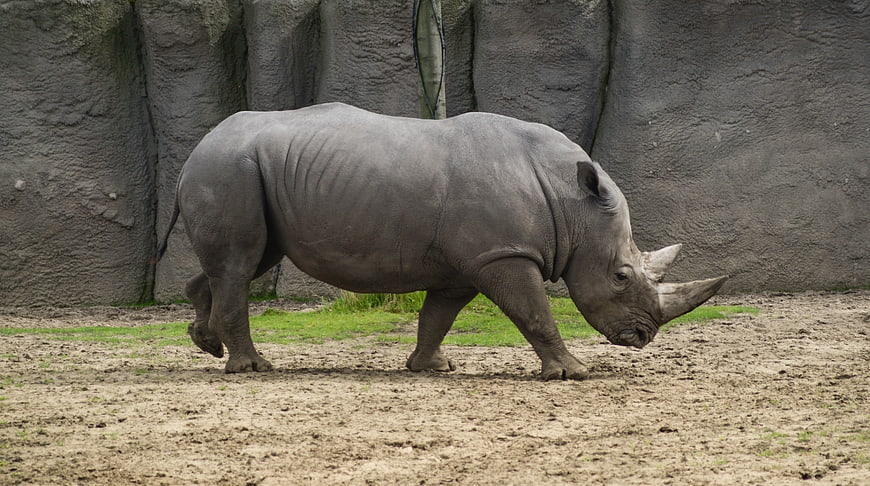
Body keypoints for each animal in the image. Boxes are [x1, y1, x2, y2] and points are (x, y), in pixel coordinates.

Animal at [157, 102, 726, 380]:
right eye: (621, 275)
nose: (643, 337)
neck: (572, 204)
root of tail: (197, 148)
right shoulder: (502, 254)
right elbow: (535, 313)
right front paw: (573, 374)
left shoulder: (469, 261)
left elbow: (439, 315)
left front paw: (430, 367)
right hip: (228, 169)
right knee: (240, 264)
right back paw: (252, 369)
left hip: (244, 172)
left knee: (246, 261)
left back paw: (206, 342)